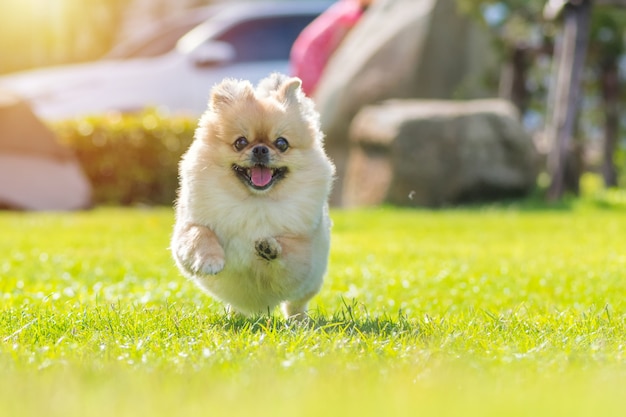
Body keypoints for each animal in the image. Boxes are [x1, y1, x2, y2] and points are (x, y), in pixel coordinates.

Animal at [171, 72, 334, 318]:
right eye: (241, 142)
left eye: (281, 143)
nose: (260, 149)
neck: (254, 200)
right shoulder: (188, 227)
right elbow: (200, 234)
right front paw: (210, 260)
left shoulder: (301, 257)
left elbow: (287, 254)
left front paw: (270, 248)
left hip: (310, 284)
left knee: (296, 305)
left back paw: (299, 321)